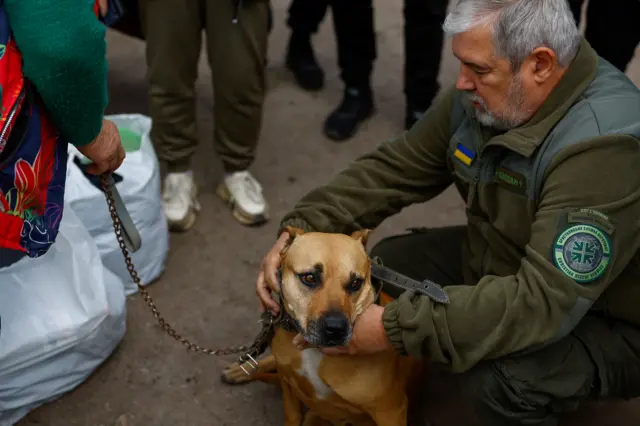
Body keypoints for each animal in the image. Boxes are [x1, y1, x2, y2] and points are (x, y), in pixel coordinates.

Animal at [222, 228, 422, 426]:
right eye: (310, 277)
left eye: (356, 283)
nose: (336, 328)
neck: (312, 351)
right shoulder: (288, 386)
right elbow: (291, 415)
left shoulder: (391, 411)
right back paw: (241, 369)